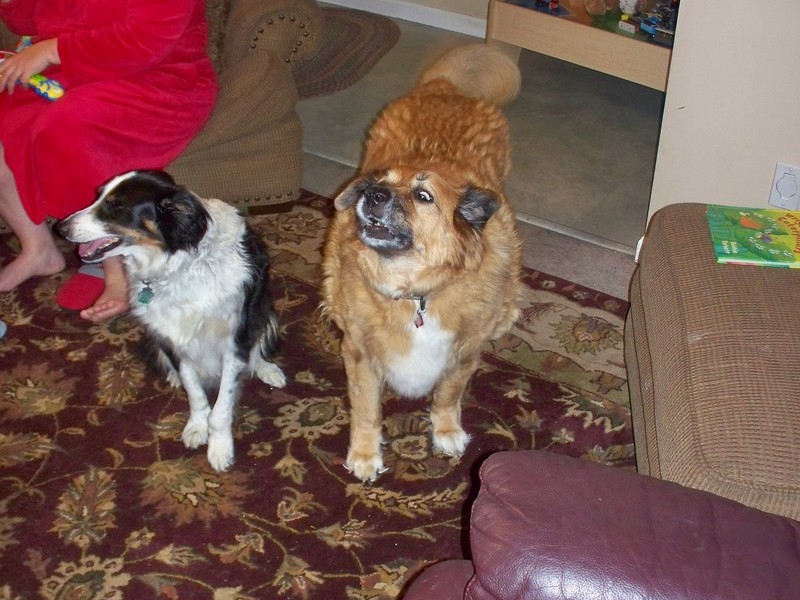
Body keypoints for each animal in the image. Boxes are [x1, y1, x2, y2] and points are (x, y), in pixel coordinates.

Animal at [57, 170, 286, 474]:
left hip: (266, 311)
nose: (61, 228)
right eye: (97, 196)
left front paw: (220, 449)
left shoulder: (233, 340)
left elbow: (222, 405)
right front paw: (196, 428)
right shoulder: (172, 337)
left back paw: (268, 370)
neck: (176, 265)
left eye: (116, 207)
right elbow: (195, 391)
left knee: (258, 347)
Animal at [322, 43, 520, 482]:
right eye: (381, 183)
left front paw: (446, 431)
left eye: (424, 196)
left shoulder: (463, 355)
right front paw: (365, 454)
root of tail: (445, 88)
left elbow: (447, 394)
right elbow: (366, 410)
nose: (372, 195)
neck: (416, 293)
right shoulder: (359, 354)